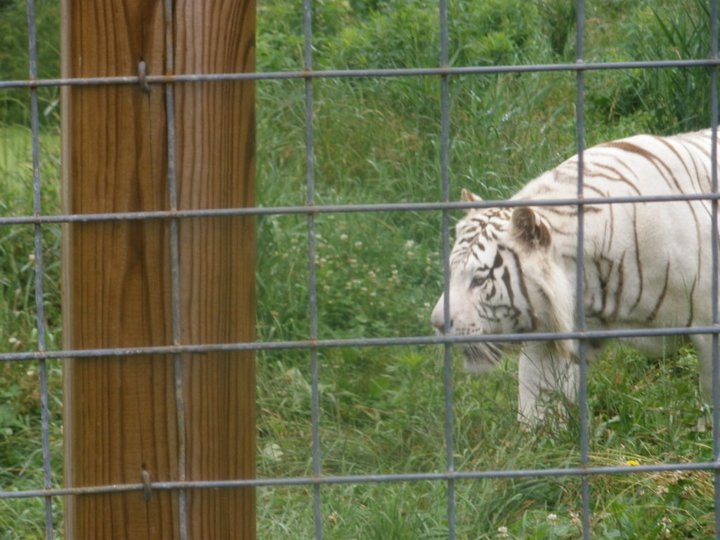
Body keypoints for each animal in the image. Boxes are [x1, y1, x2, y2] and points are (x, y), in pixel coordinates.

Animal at [431, 129, 719, 423]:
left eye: (478, 280)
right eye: (451, 273)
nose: (437, 324)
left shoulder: (710, 331)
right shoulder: (549, 339)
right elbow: (537, 403)